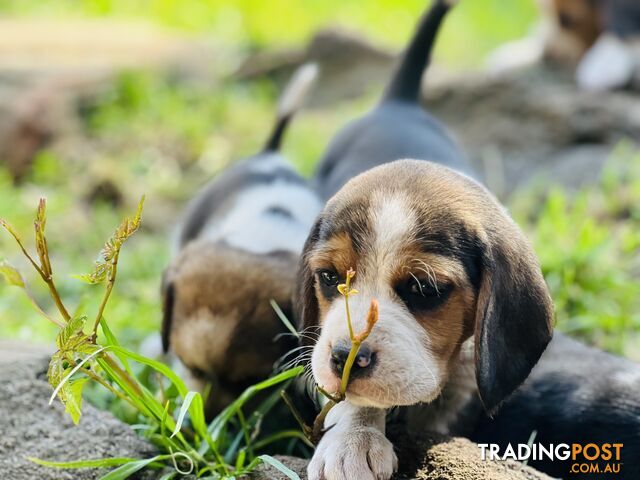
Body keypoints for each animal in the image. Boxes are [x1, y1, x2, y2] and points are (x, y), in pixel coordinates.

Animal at [296, 1, 640, 478]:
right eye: (328, 278)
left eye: (424, 289)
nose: (346, 357)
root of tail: (399, 102)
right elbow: (358, 399)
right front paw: (355, 438)